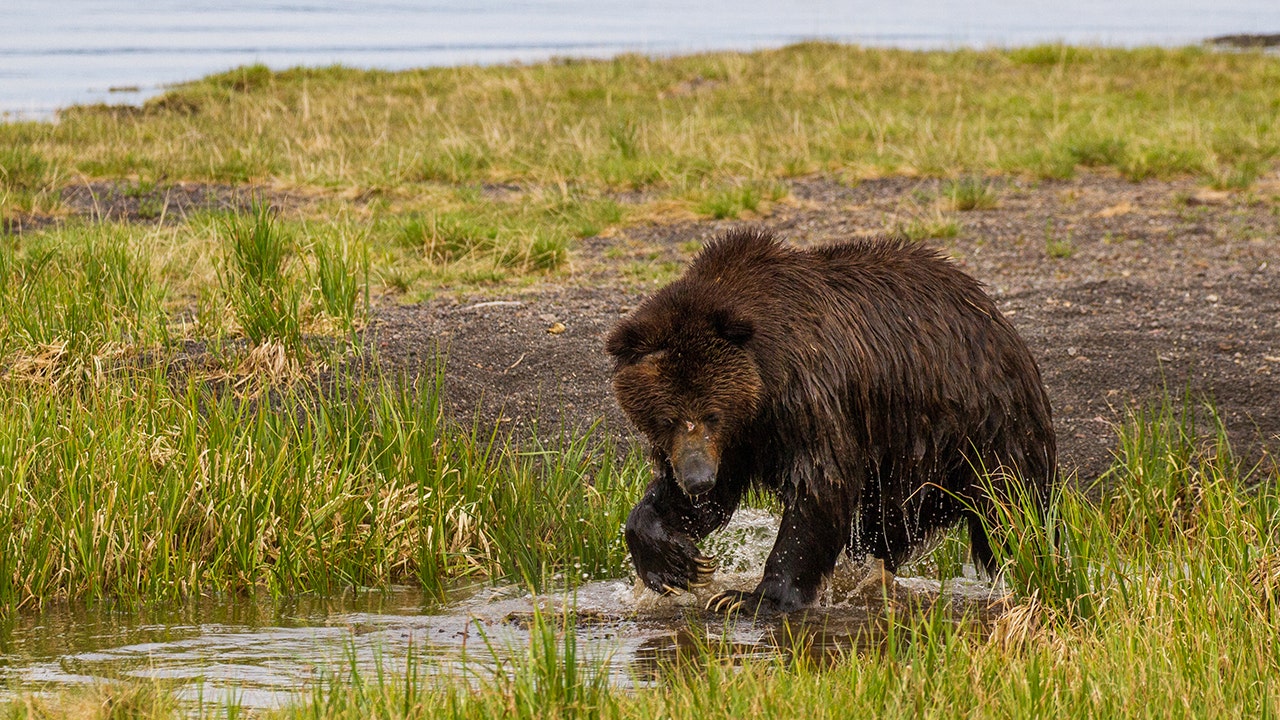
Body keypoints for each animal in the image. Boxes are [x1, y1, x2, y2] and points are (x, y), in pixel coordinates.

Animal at [609, 226, 1059, 607]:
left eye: (712, 413)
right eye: (665, 418)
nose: (698, 480)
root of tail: (995, 314)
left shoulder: (806, 396)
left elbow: (820, 484)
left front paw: (753, 597)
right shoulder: (738, 441)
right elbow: (700, 502)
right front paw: (674, 562)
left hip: (977, 424)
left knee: (1009, 507)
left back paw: (1029, 562)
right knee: (883, 527)